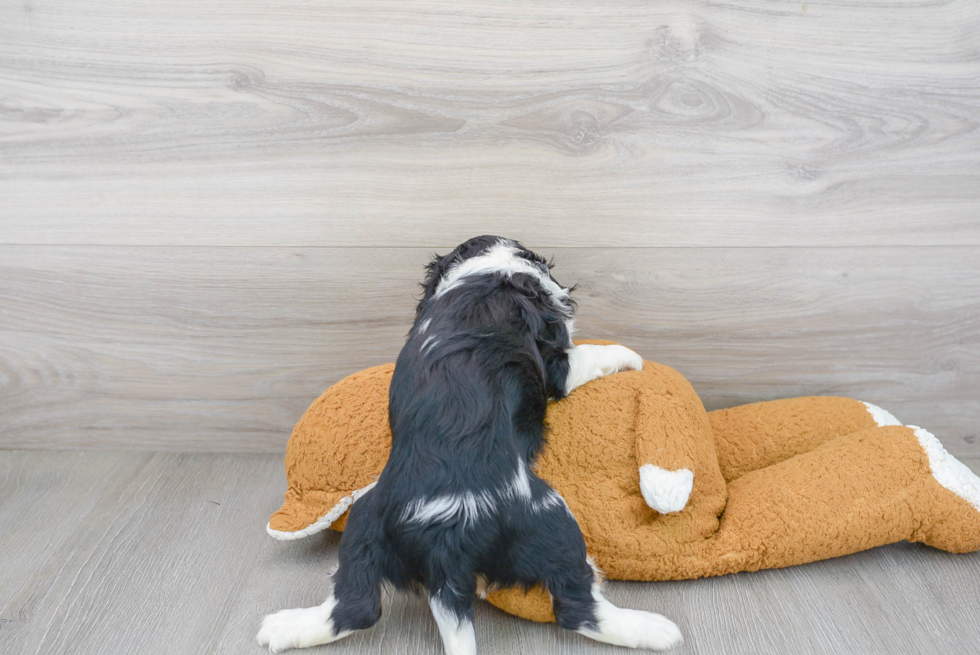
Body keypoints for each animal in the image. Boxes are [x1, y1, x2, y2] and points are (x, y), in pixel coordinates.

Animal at [258, 237, 680, 655]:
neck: (486, 272)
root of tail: (445, 543)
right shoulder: (557, 366)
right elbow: (589, 354)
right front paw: (631, 356)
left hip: (366, 522)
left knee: (354, 605)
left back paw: (281, 627)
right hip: (549, 519)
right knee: (577, 607)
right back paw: (657, 630)